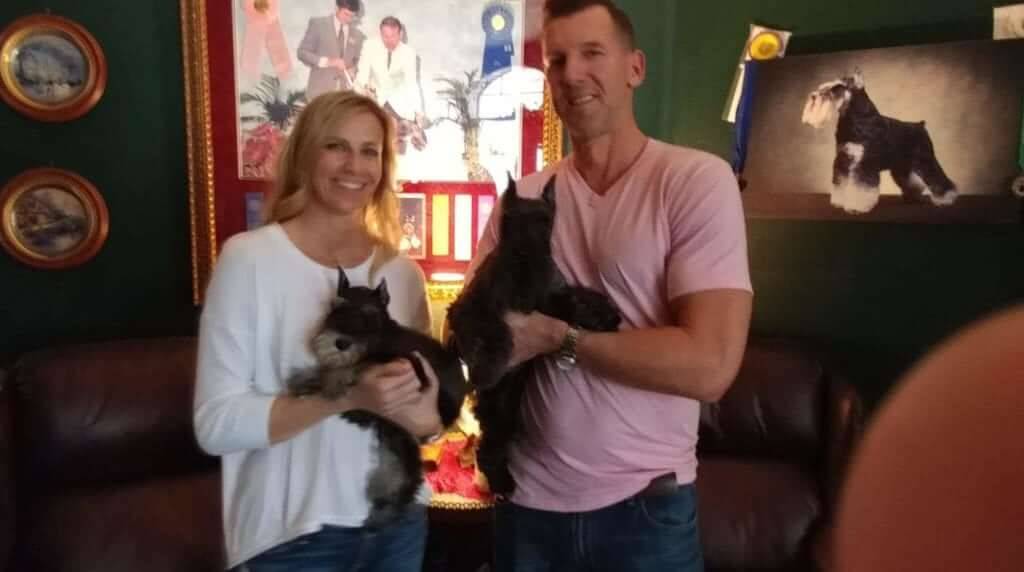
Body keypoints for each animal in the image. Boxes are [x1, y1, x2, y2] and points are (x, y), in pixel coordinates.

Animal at [288, 269, 467, 527]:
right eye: (336, 307)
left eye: (369, 314)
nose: (340, 343)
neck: (384, 336)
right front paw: (307, 379)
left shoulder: (409, 365)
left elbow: (364, 363)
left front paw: (336, 379)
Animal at [447, 175, 621, 495]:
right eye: (508, 220)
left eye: (545, 222)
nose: (525, 260)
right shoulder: (468, 310)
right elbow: (492, 327)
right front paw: (489, 365)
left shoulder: (550, 297)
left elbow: (571, 300)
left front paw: (602, 313)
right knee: (488, 448)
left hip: (505, 410)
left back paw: (502, 481)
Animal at [801, 70, 958, 214]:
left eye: (837, 88)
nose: (813, 96)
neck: (857, 119)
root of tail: (920, 125)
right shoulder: (843, 160)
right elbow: (840, 183)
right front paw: (839, 202)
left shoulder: (864, 163)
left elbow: (861, 187)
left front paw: (856, 207)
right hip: (902, 166)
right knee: (911, 182)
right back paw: (912, 197)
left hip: (925, 160)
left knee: (938, 178)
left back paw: (946, 199)